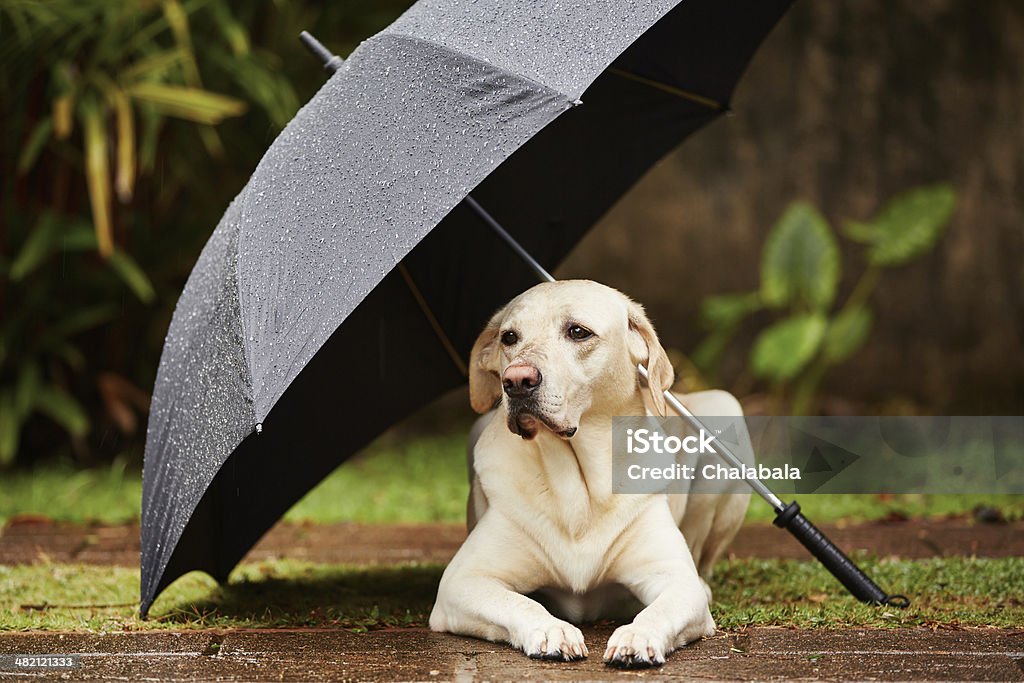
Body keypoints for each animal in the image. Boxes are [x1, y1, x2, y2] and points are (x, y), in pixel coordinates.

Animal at [428, 278, 749, 667]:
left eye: (578, 332)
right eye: (509, 337)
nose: (515, 380)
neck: (579, 488)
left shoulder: (675, 579)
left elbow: (662, 608)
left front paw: (637, 635)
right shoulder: (462, 581)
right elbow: (518, 602)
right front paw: (551, 629)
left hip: (726, 410)